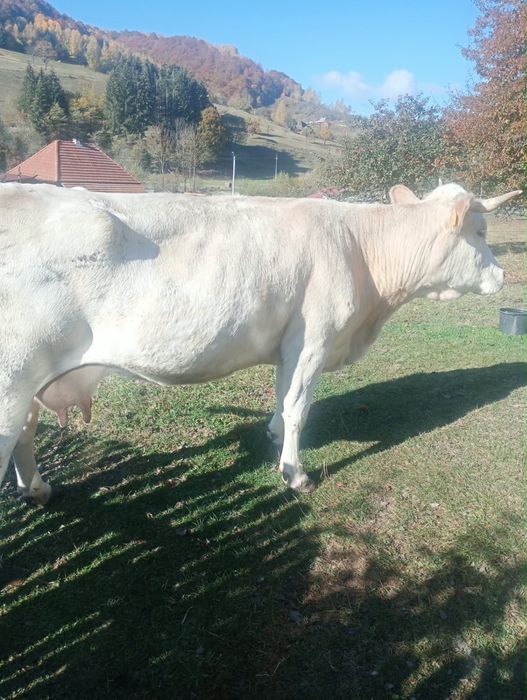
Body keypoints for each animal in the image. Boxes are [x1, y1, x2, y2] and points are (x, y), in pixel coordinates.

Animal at [0, 181, 521, 505]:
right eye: (480, 232)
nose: (502, 277)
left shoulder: (290, 342)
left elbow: (281, 394)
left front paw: (272, 434)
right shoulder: (314, 340)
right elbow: (299, 408)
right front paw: (295, 473)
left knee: (26, 431)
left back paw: (37, 490)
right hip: (12, 377)